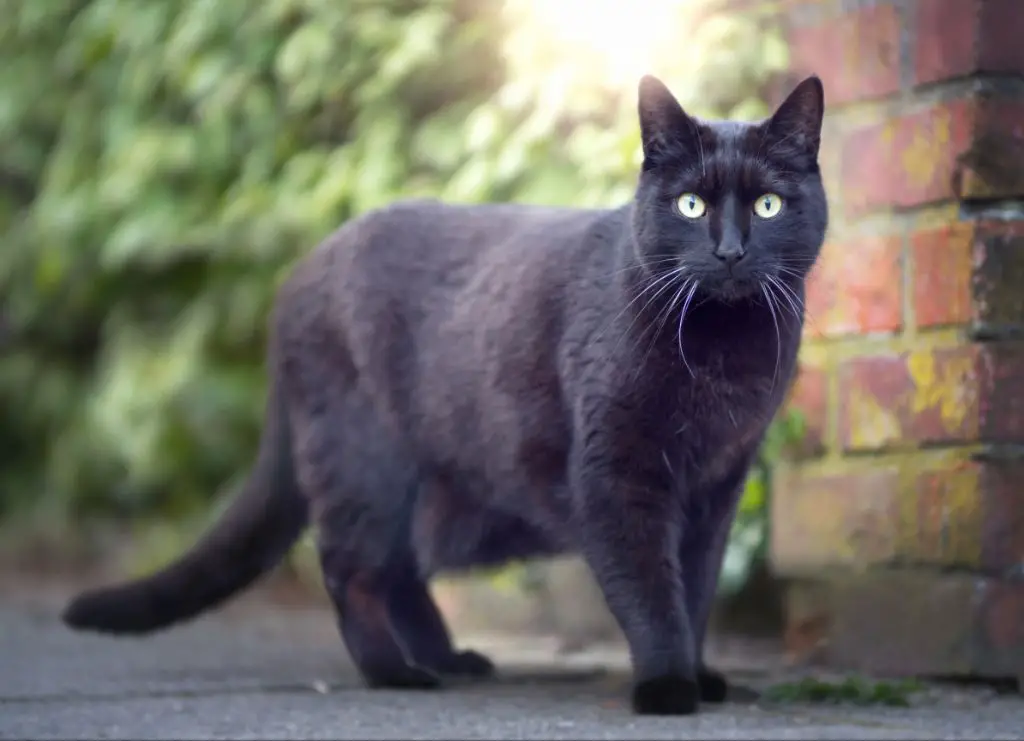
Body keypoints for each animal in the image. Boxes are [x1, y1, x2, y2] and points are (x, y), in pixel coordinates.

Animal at [64, 72, 827, 716]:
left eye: (768, 204)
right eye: (690, 205)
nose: (729, 251)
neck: (723, 357)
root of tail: (300, 271)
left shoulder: (717, 486)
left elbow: (695, 589)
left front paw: (698, 673)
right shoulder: (617, 475)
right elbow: (649, 588)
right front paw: (668, 686)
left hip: (433, 479)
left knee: (402, 570)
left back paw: (449, 657)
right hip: (363, 460)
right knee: (350, 570)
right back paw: (396, 673)